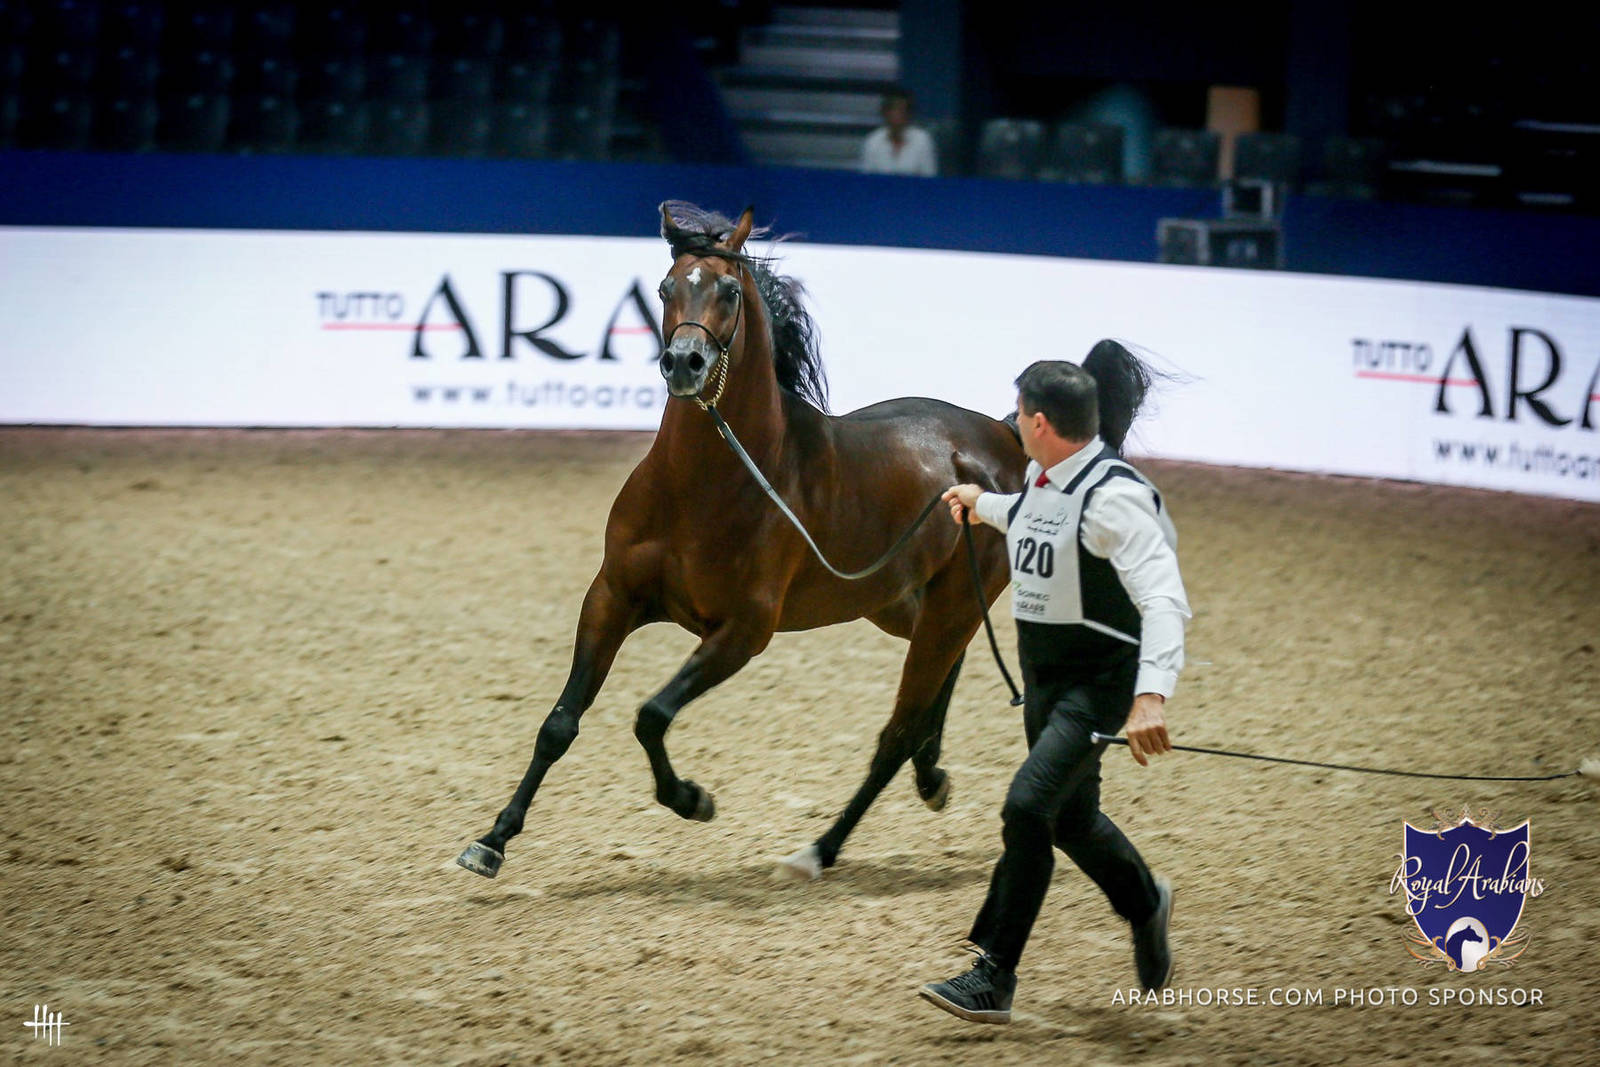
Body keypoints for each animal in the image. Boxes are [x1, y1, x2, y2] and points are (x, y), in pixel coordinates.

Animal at [456, 202, 1143, 883]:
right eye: (666, 288)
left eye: (730, 291)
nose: (684, 364)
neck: (702, 485)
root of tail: (1003, 439)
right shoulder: (612, 597)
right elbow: (559, 724)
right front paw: (491, 842)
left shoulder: (743, 631)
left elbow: (650, 716)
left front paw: (693, 800)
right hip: (899, 604)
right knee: (941, 678)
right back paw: (931, 777)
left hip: (949, 607)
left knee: (897, 731)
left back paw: (822, 849)